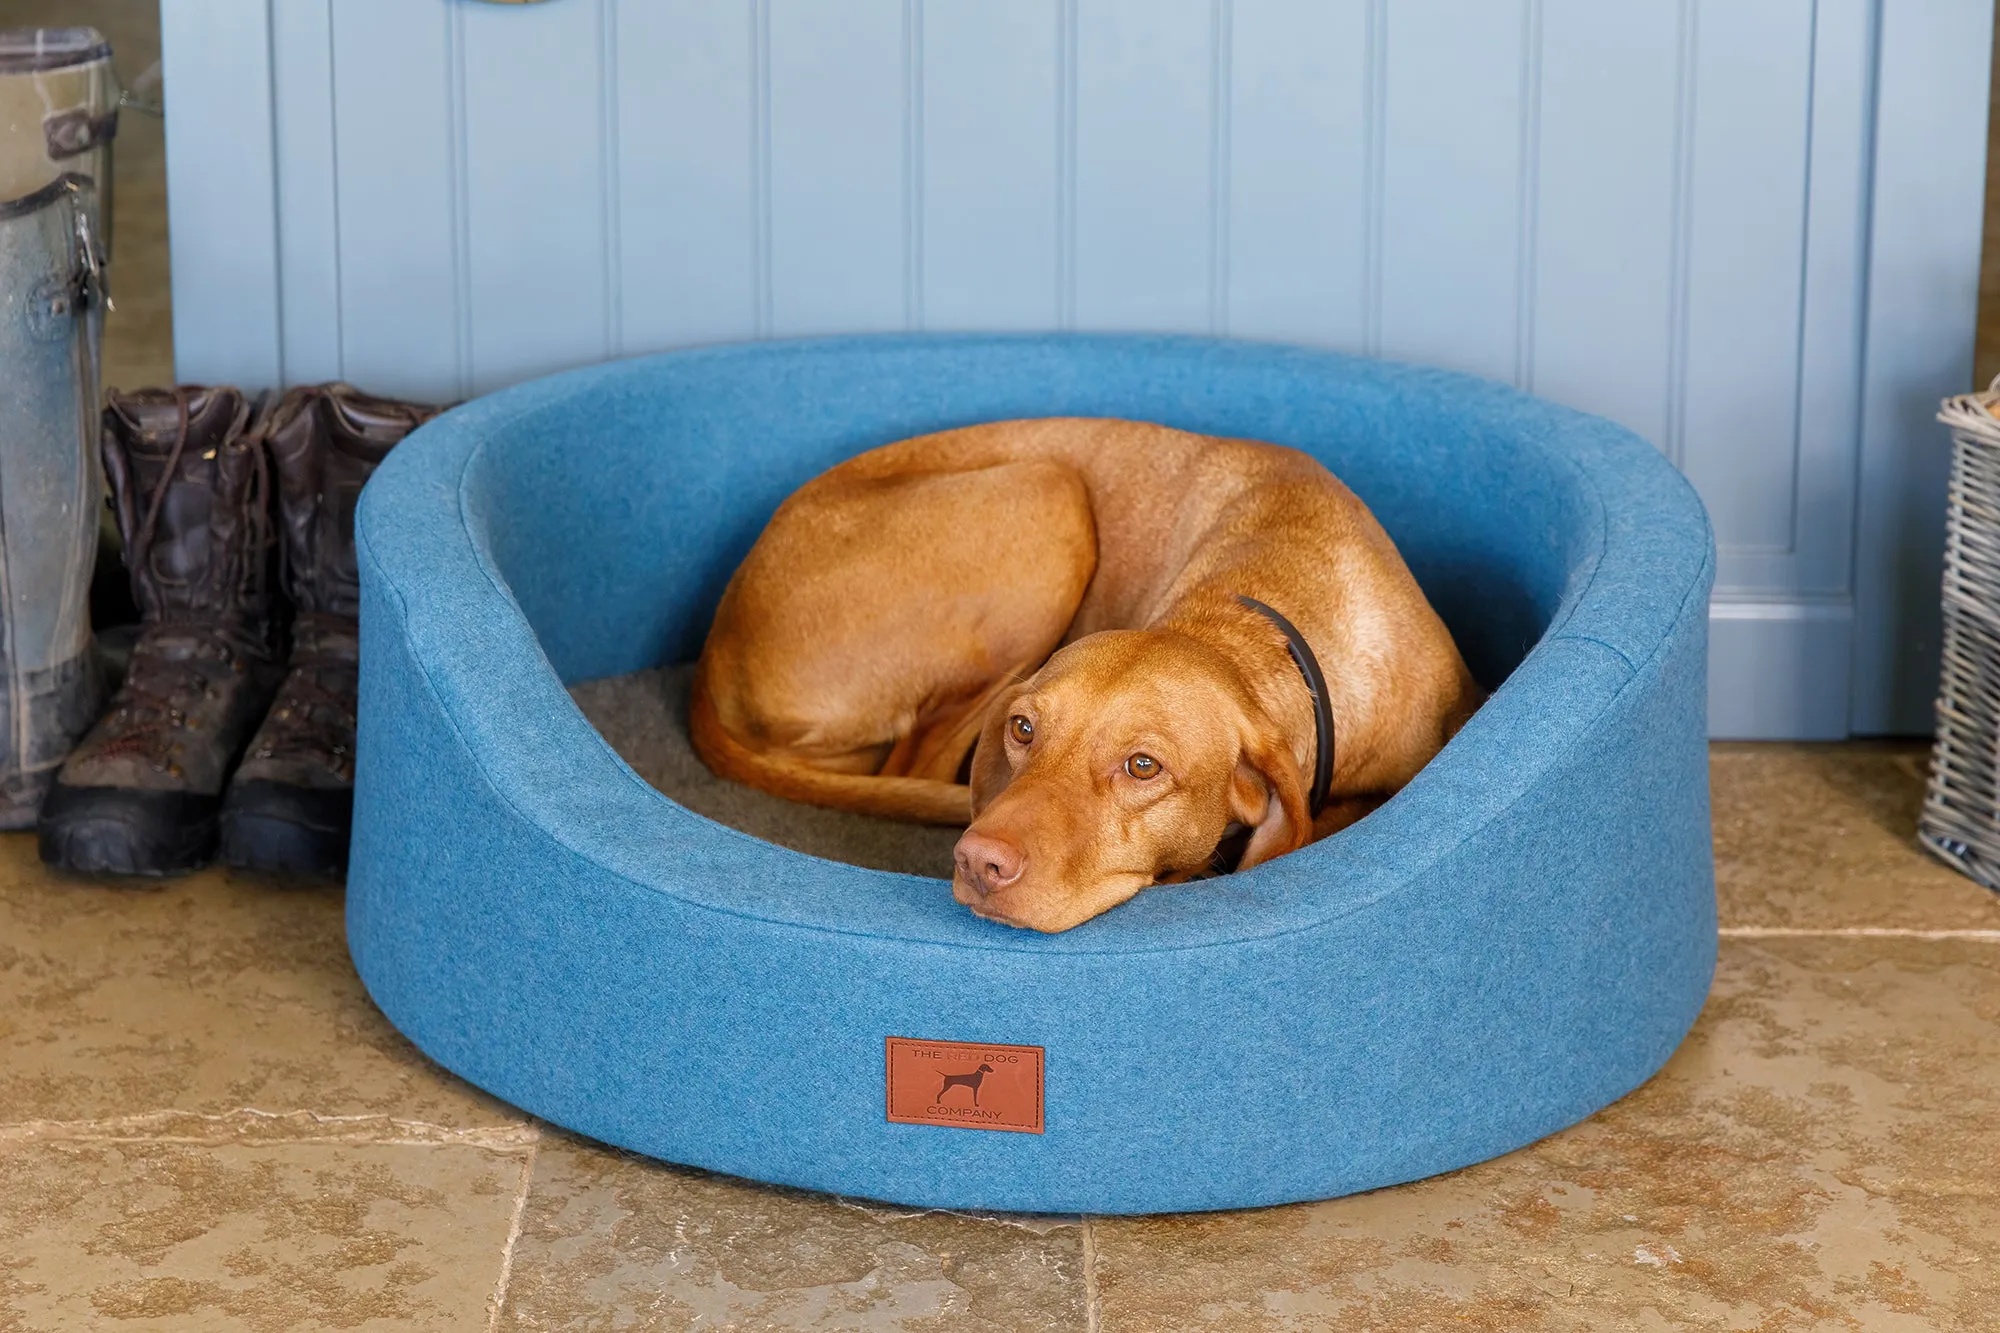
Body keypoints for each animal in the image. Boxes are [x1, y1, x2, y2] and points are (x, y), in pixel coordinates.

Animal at [692, 420, 1488, 928]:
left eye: (1143, 766)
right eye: (1023, 729)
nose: (978, 862)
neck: (1250, 619)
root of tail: (713, 655)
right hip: (1051, 496)